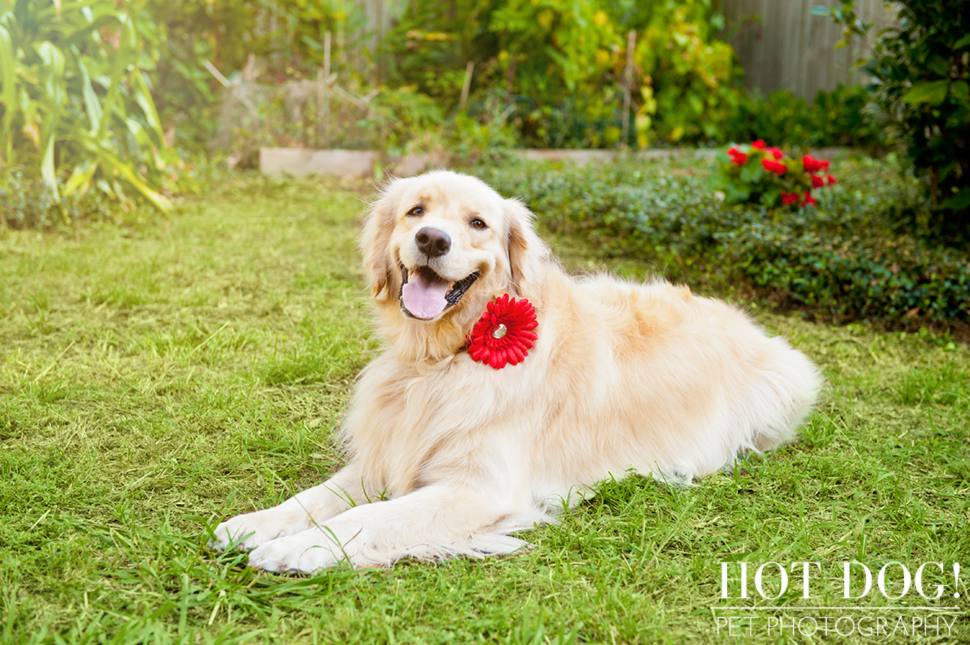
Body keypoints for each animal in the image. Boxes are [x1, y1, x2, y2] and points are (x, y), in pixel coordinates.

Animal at [212, 169, 816, 572]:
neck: (443, 361)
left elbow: (370, 519)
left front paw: (295, 548)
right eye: (416, 212)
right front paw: (254, 523)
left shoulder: (479, 490)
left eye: (477, 223)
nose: (432, 239)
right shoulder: (390, 452)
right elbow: (314, 498)